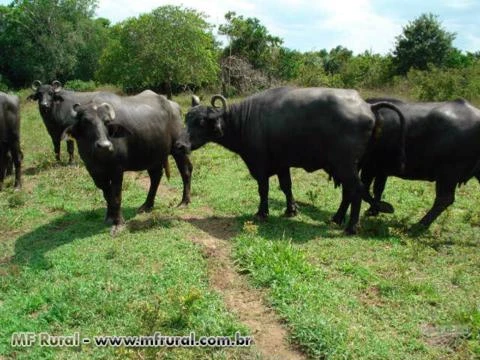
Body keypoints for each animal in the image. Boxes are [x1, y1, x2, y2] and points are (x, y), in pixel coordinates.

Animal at [62, 91, 192, 235]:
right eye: (86, 122)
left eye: (106, 122)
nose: (104, 145)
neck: (99, 158)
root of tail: (174, 107)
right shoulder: (94, 172)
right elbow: (107, 195)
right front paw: (109, 217)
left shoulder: (117, 170)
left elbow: (116, 196)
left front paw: (118, 223)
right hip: (153, 155)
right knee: (156, 177)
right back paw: (147, 205)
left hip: (179, 149)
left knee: (186, 171)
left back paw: (184, 202)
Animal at [184, 86, 404, 233]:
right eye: (186, 118)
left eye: (201, 121)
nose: (181, 144)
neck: (245, 120)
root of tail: (368, 106)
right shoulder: (282, 163)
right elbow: (286, 186)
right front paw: (291, 210)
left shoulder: (259, 164)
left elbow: (263, 189)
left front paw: (262, 212)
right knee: (350, 192)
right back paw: (336, 218)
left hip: (346, 165)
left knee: (356, 191)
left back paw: (351, 226)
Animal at [352, 97, 480, 229]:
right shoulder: (381, 169)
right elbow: (378, 188)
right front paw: (373, 211)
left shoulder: (370, 167)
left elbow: (366, 187)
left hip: (448, 173)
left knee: (444, 199)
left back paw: (419, 225)